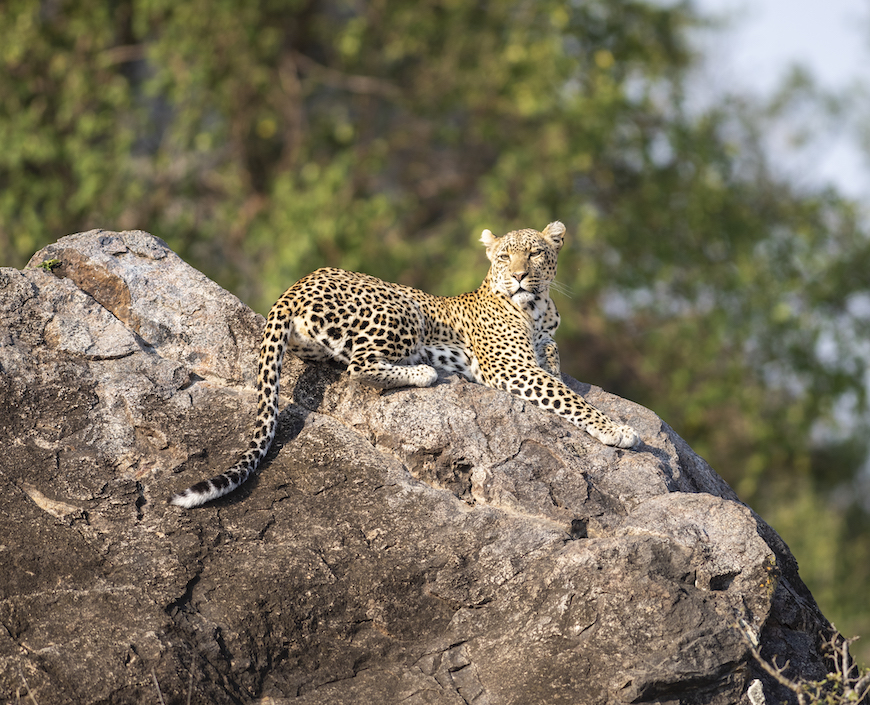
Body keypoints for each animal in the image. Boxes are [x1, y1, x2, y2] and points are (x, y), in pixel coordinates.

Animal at [169, 221, 639, 508]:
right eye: (505, 257)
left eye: (536, 254)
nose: (520, 276)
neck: (538, 308)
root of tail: (296, 285)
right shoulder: (510, 367)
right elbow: (566, 396)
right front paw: (617, 429)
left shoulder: (541, 348)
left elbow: (556, 365)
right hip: (404, 308)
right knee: (360, 366)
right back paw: (425, 371)